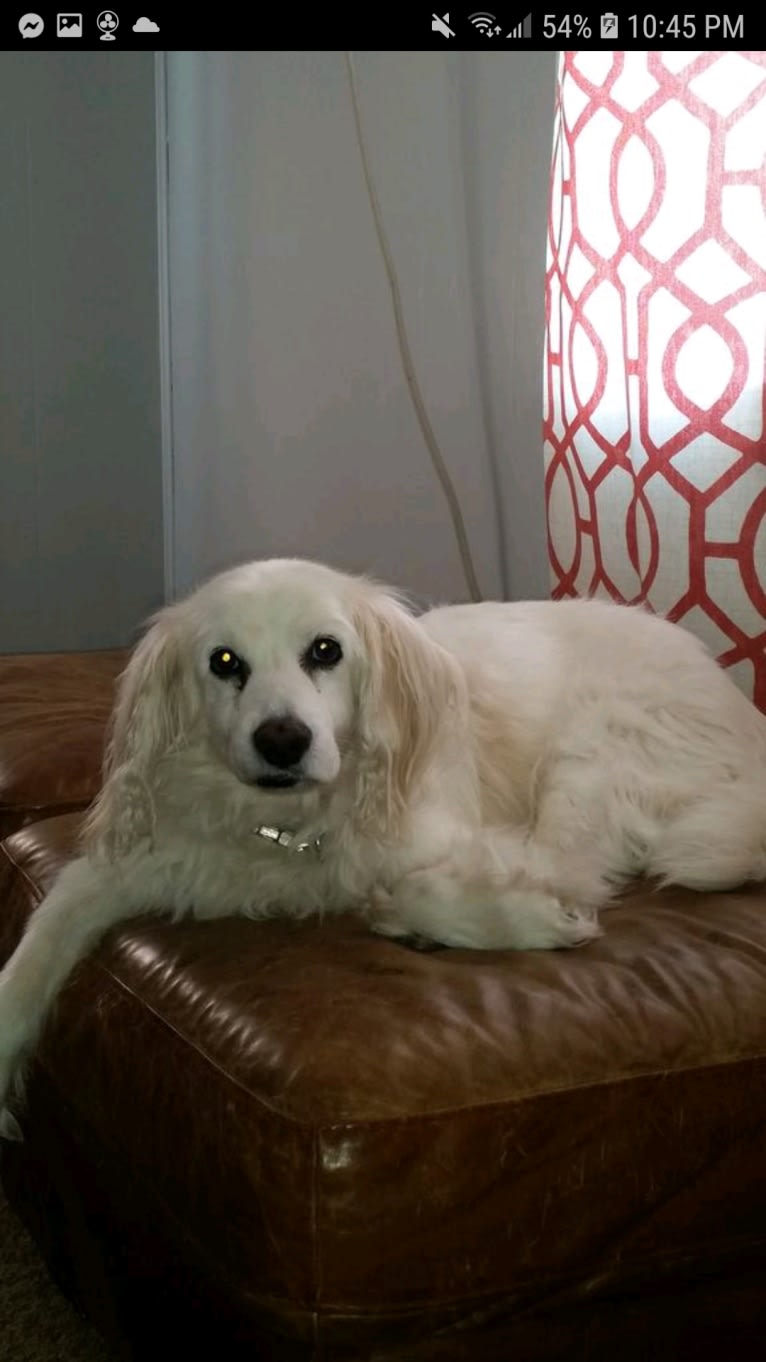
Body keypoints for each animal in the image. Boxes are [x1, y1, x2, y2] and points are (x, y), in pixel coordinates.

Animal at [1, 555, 763, 1127]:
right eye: (223, 662)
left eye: (326, 651)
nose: (283, 741)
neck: (289, 828)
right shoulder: (116, 869)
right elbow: (34, 952)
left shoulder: (441, 841)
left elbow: (428, 885)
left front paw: (527, 918)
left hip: (590, 755)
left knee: (565, 860)